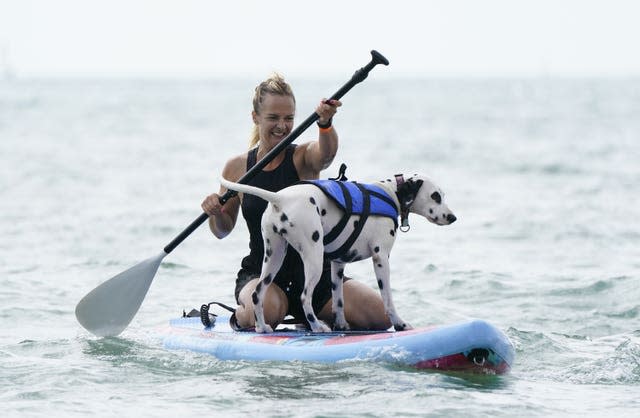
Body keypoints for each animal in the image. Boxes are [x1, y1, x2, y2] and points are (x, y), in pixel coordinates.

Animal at [220, 173, 456, 334]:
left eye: (443, 195)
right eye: (435, 196)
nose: (453, 217)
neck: (390, 193)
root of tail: (282, 198)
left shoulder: (338, 263)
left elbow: (338, 300)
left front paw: (341, 325)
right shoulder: (381, 259)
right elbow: (388, 299)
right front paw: (400, 323)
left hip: (273, 258)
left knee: (257, 293)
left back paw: (262, 327)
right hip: (313, 258)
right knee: (305, 296)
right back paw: (317, 327)